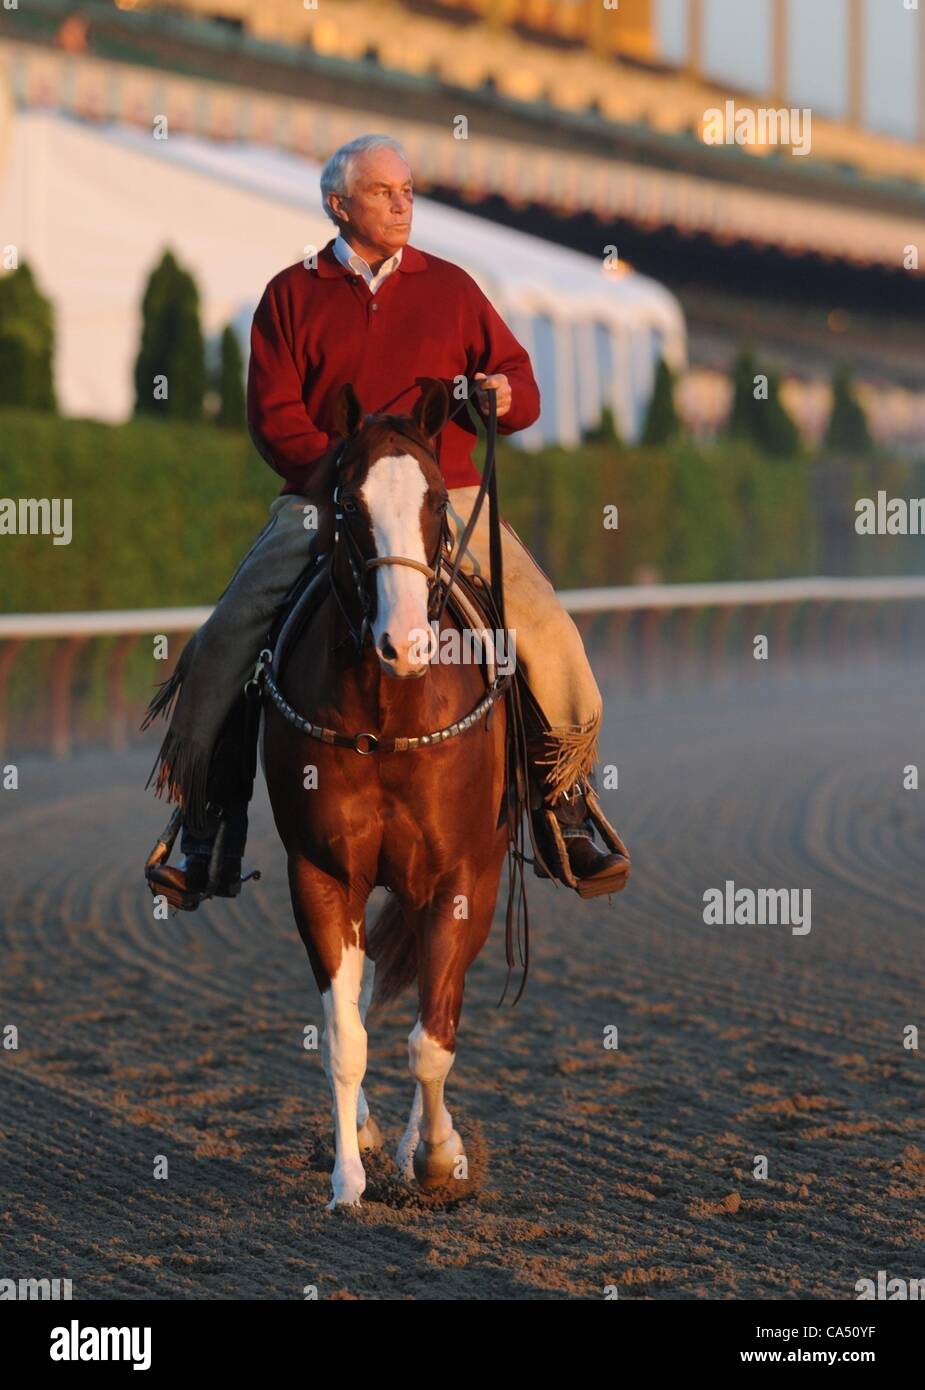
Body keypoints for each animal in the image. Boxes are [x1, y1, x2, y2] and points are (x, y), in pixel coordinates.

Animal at [261, 380, 511, 1206]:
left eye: (434, 500)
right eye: (346, 503)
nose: (404, 643)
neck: (388, 715)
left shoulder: (462, 878)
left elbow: (432, 1037)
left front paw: (436, 1157)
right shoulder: (320, 873)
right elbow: (346, 1036)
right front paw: (348, 1179)